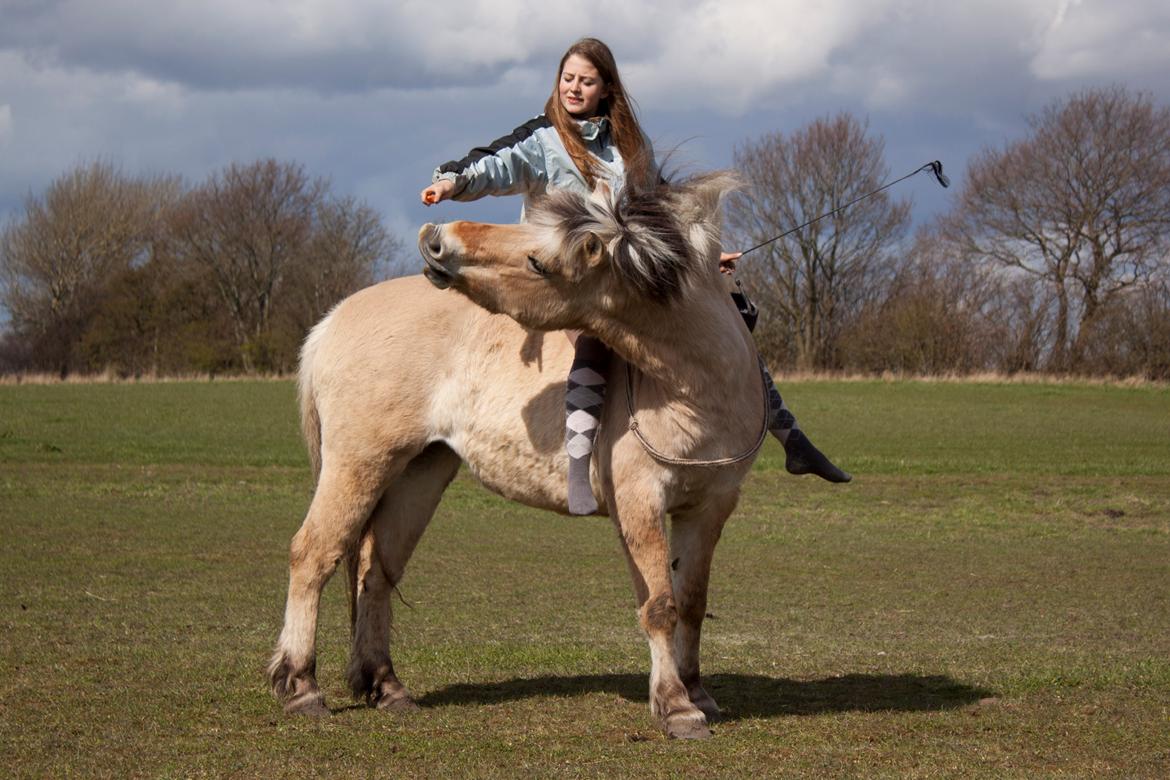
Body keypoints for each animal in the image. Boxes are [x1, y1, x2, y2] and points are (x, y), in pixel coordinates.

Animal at [267, 174, 767, 743]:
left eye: (538, 261)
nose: (435, 238)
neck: (694, 386)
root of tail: (334, 318)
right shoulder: (641, 503)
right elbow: (659, 605)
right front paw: (677, 708)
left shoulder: (708, 508)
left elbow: (691, 602)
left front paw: (697, 692)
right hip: (358, 465)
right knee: (313, 555)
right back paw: (301, 687)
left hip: (416, 475)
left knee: (376, 572)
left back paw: (387, 687)